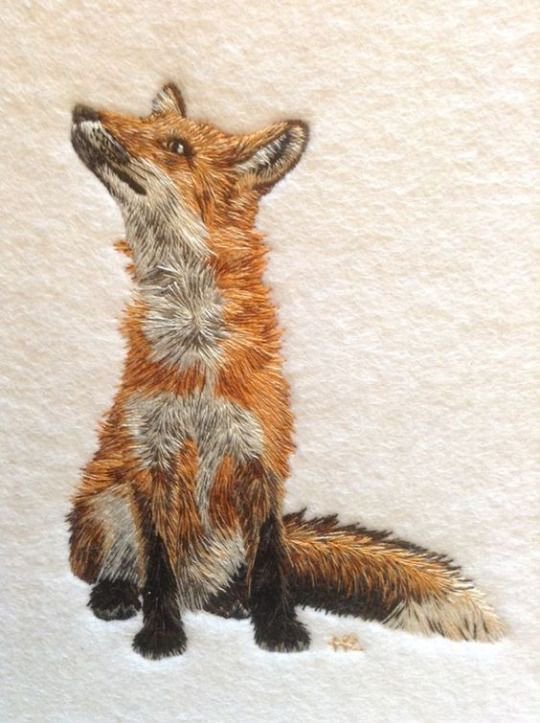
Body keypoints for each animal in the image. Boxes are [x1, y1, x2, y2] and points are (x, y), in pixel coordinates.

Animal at [68, 82, 504, 659]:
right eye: (142, 122)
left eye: (176, 146)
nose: (80, 109)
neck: (197, 352)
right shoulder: (149, 456)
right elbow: (157, 567)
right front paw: (161, 635)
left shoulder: (261, 457)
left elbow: (272, 562)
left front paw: (278, 628)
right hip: (104, 501)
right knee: (122, 567)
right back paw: (117, 594)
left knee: (232, 578)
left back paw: (232, 602)